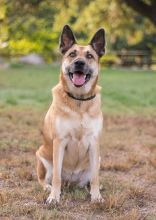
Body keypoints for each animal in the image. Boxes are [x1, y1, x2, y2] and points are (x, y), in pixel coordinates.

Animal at [36, 24, 105, 204]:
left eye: (89, 56)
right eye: (72, 54)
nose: (79, 63)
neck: (79, 100)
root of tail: (71, 183)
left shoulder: (94, 142)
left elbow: (95, 178)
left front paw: (96, 197)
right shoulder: (59, 141)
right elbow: (56, 177)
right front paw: (54, 197)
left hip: (97, 160)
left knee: (90, 178)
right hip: (42, 156)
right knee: (45, 179)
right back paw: (48, 188)